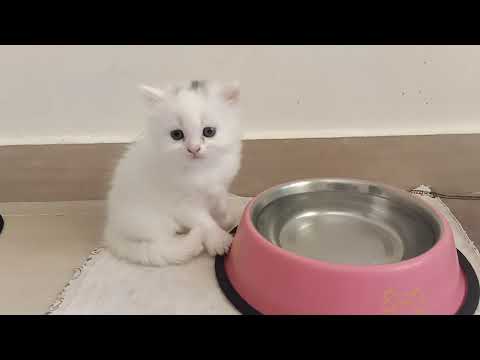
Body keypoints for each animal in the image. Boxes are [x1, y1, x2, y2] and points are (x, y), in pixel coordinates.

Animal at [103, 81, 242, 268]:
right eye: (176, 135)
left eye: (209, 132)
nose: (194, 149)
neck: (202, 170)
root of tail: (112, 227)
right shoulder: (183, 206)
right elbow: (205, 222)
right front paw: (219, 240)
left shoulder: (220, 187)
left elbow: (221, 206)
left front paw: (225, 220)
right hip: (153, 221)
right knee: (161, 244)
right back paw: (190, 243)